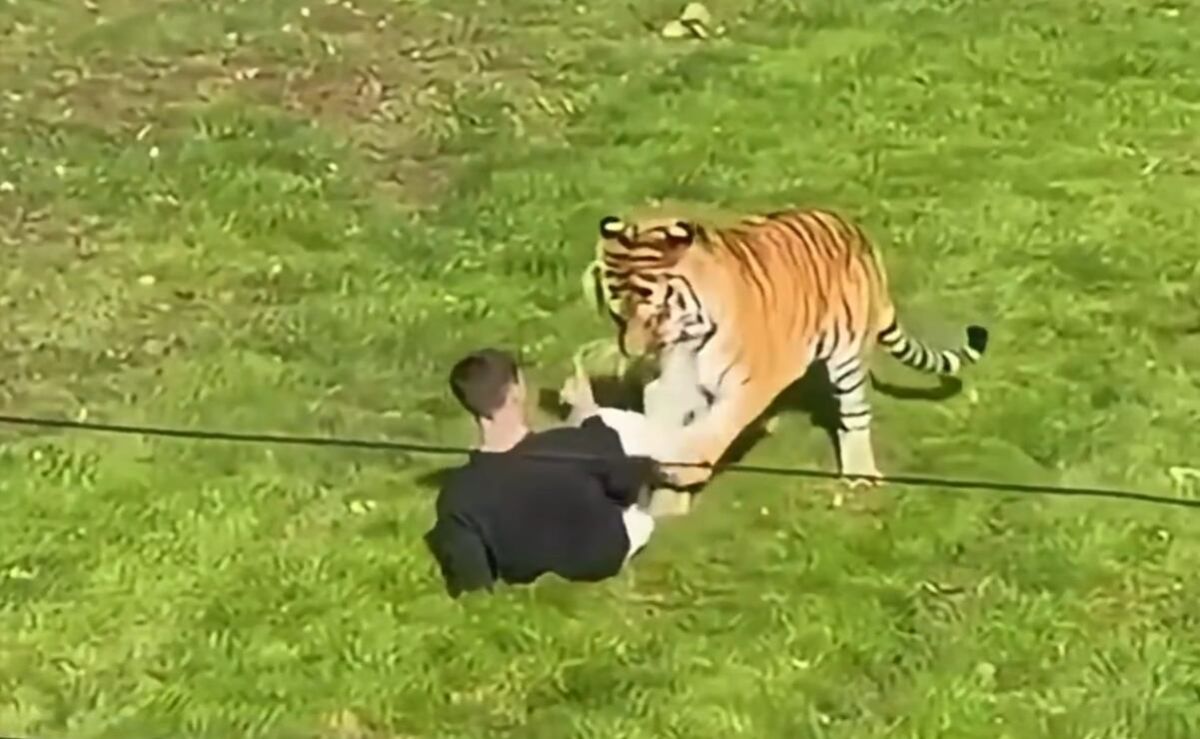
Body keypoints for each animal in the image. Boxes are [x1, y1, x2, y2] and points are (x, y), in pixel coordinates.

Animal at [586, 207, 989, 490]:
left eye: (654, 312)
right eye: (617, 313)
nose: (633, 353)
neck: (692, 335)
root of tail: (856, 233)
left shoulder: (754, 382)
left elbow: (718, 426)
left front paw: (683, 468)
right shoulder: (672, 381)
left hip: (846, 358)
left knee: (855, 416)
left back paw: (860, 474)